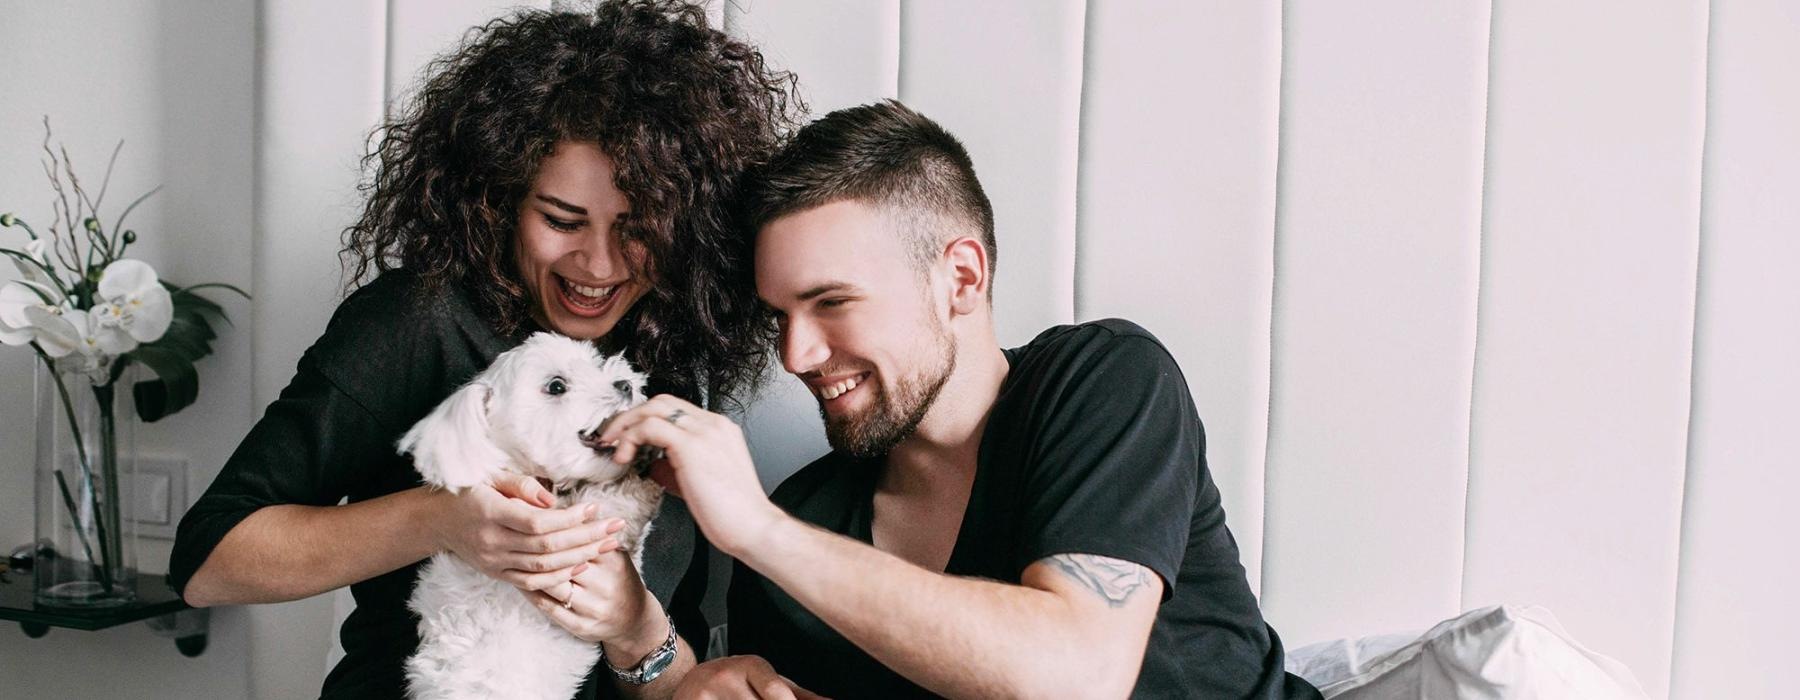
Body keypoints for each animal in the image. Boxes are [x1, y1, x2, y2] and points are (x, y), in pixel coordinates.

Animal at [397, 332, 666, 698]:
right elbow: (614, 507)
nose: (625, 383)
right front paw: (641, 475)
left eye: (594, 363)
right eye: (556, 386)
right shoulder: (579, 537)